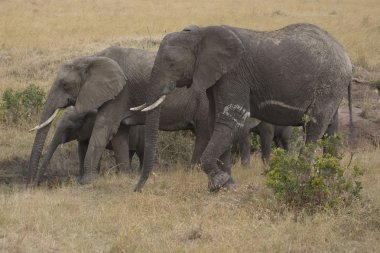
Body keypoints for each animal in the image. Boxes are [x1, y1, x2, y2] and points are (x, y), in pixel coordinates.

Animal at [28, 46, 209, 187]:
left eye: (65, 85)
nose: (33, 184)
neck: (92, 58)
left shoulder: (120, 92)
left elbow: (104, 128)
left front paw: (87, 181)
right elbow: (118, 134)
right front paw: (124, 176)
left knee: (203, 133)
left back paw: (193, 170)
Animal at [133, 23, 354, 192]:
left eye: (171, 63)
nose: (137, 190)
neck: (202, 33)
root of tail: (346, 57)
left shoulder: (234, 74)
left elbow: (230, 121)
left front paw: (219, 183)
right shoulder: (217, 77)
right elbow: (216, 122)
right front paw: (226, 186)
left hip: (329, 84)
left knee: (314, 128)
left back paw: (302, 180)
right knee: (330, 132)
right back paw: (330, 179)